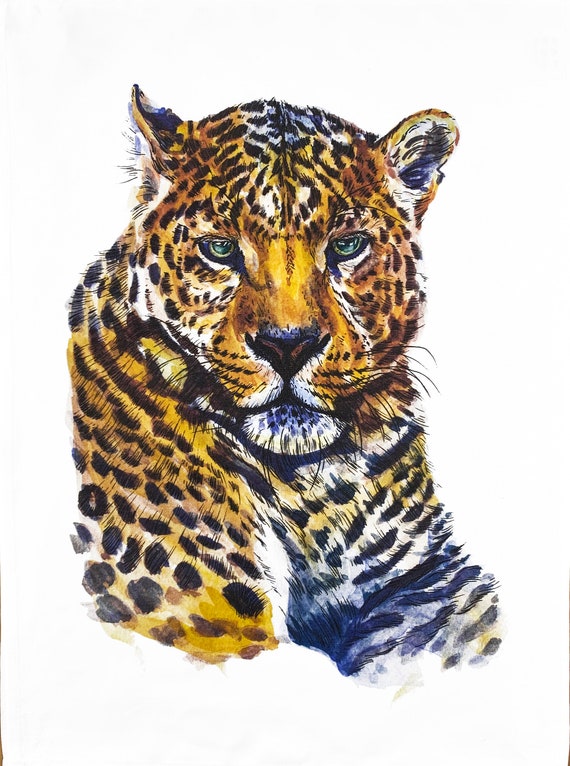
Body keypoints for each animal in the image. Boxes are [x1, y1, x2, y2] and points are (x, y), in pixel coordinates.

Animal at [68, 85, 501, 684]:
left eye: (346, 246)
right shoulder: (197, 610)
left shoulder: (427, 580)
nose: (288, 345)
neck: (313, 489)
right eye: (220, 250)